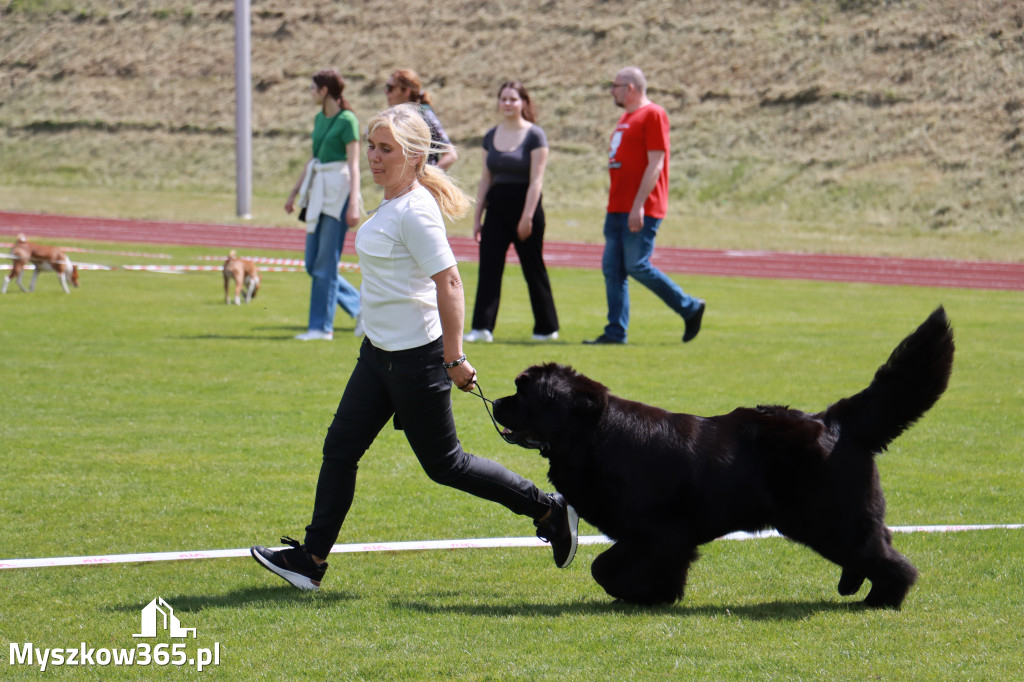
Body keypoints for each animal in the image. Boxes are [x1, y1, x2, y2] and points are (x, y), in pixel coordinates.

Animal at [491, 307, 954, 606]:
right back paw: (854, 586)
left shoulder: (659, 532)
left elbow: (604, 567)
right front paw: (657, 597)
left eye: (522, 393)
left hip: (829, 517)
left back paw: (882, 598)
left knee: (888, 558)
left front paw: (637, 594)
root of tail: (833, 420)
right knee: (876, 545)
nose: (494, 402)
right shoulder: (655, 537)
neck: (594, 436)